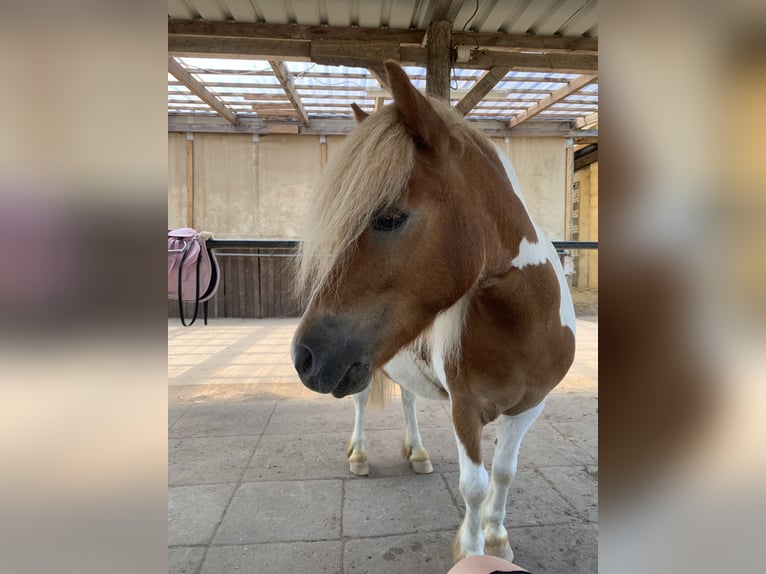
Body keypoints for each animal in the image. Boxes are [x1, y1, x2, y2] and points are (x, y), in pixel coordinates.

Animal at [294, 62, 576, 564]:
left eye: (388, 217)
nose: (304, 357)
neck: (524, 324)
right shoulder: (465, 409)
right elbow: (474, 484)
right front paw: (473, 550)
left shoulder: (529, 408)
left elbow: (504, 473)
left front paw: (498, 540)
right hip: (364, 369)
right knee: (362, 404)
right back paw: (360, 455)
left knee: (408, 400)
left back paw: (418, 452)